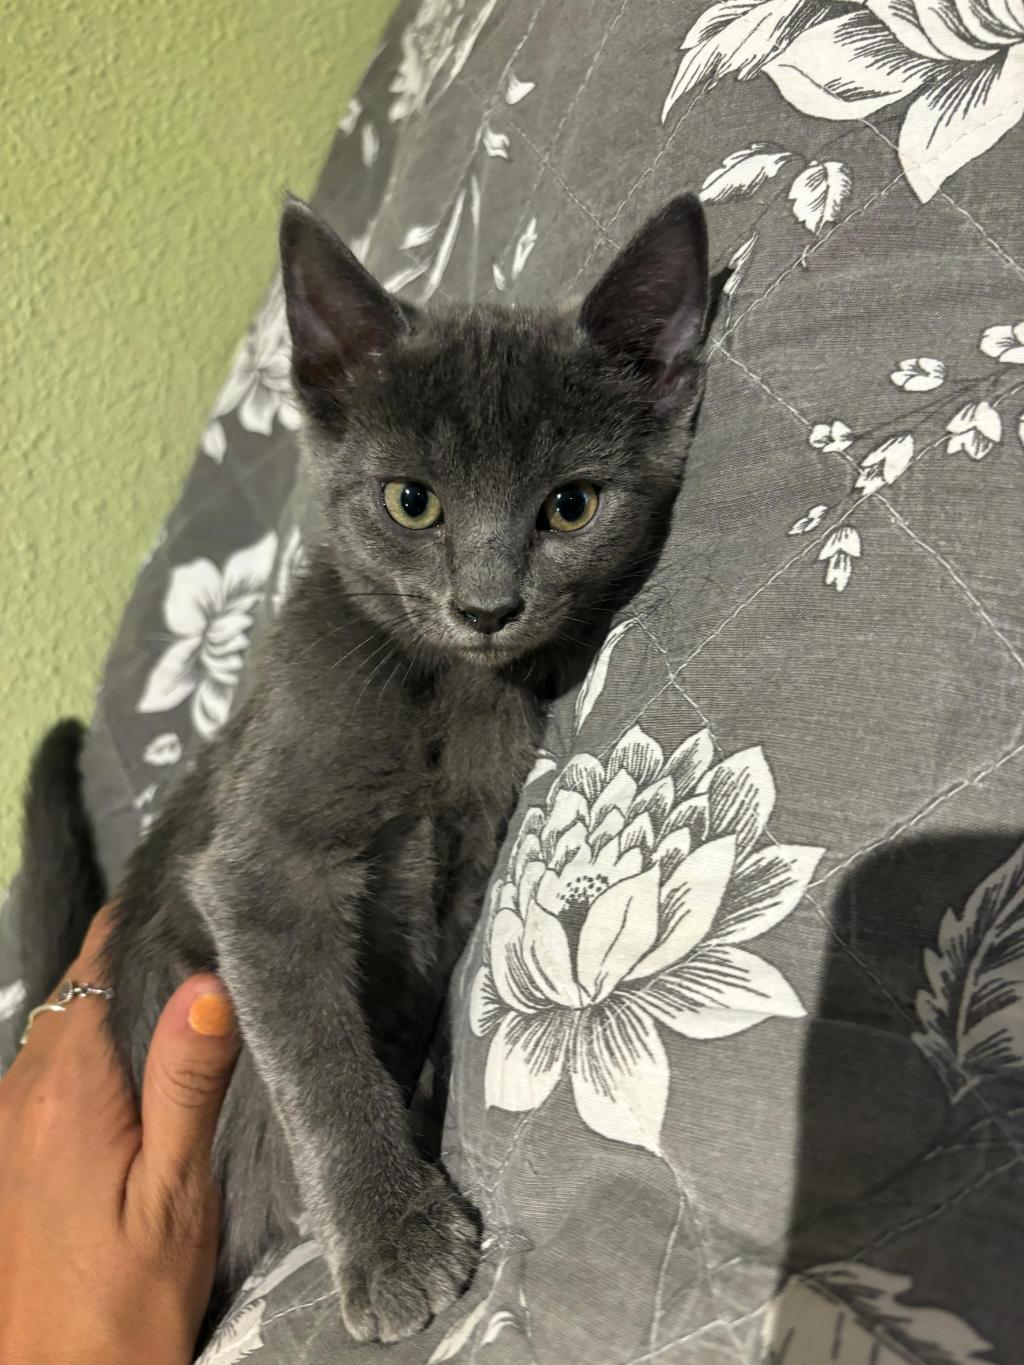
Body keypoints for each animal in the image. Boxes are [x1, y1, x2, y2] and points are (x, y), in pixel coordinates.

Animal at [19, 192, 711, 1344]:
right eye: (411, 503)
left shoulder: (472, 845)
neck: (442, 694)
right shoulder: (261, 861)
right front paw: (392, 1239)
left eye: (570, 505)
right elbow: (317, 1051)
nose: (486, 606)